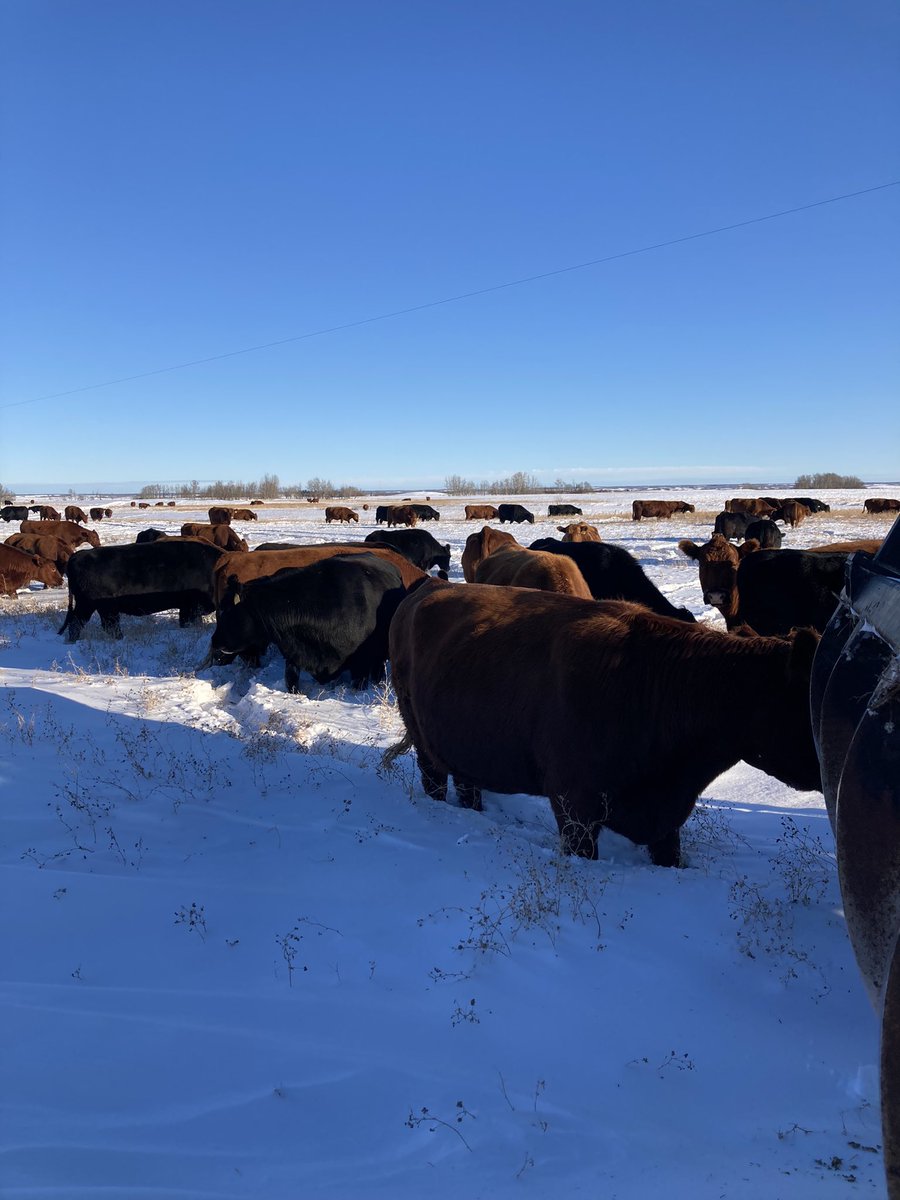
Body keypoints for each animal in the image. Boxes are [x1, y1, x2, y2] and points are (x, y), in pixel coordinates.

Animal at [59, 539, 223, 641]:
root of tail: (77, 555)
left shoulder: (186, 608)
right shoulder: (192, 607)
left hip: (92, 606)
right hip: (97, 606)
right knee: (98, 625)